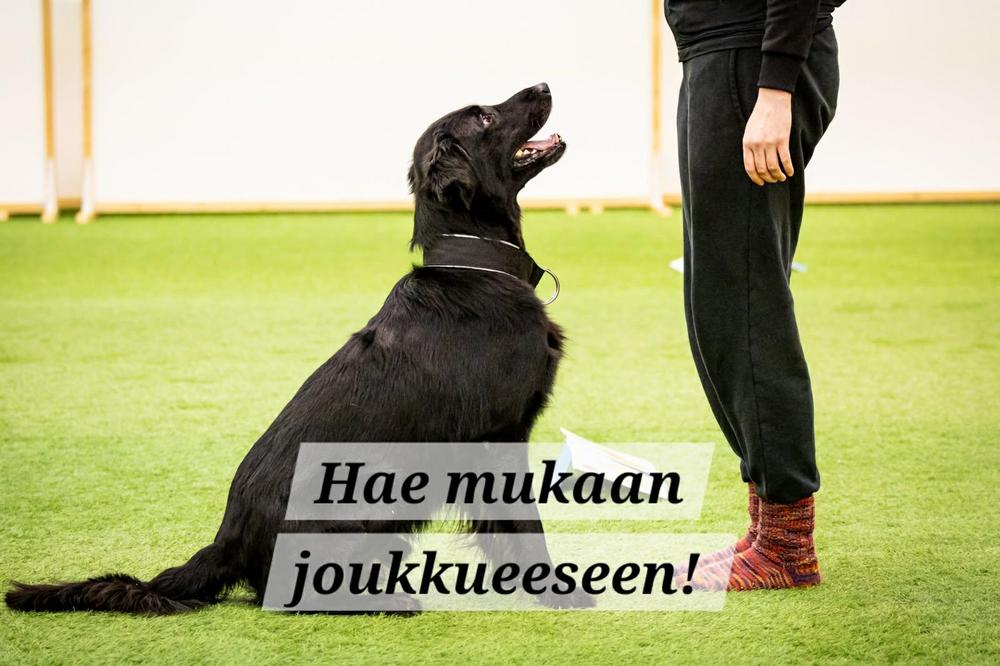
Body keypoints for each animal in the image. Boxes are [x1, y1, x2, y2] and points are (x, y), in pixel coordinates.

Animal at [6, 83, 592, 613]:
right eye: (486, 117)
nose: (543, 84)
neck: (475, 268)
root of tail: (227, 542)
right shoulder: (497, 438)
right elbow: (524, 528)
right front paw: (560, 593)